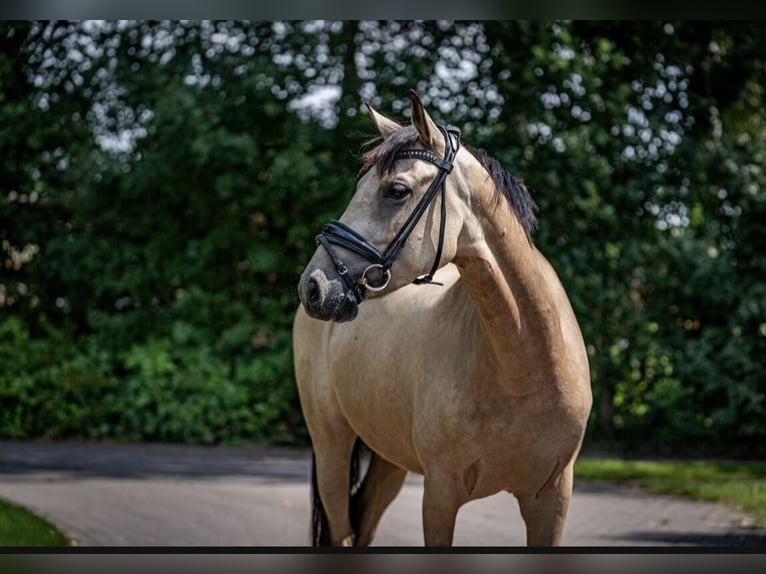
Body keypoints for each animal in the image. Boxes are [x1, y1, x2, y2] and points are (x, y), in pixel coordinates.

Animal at [294, 91, 592, 548]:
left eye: (396, 190)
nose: (313, 287)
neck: (523, 367)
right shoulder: (440, 494)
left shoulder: (552, 499)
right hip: (331, 445)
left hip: (389, 460)